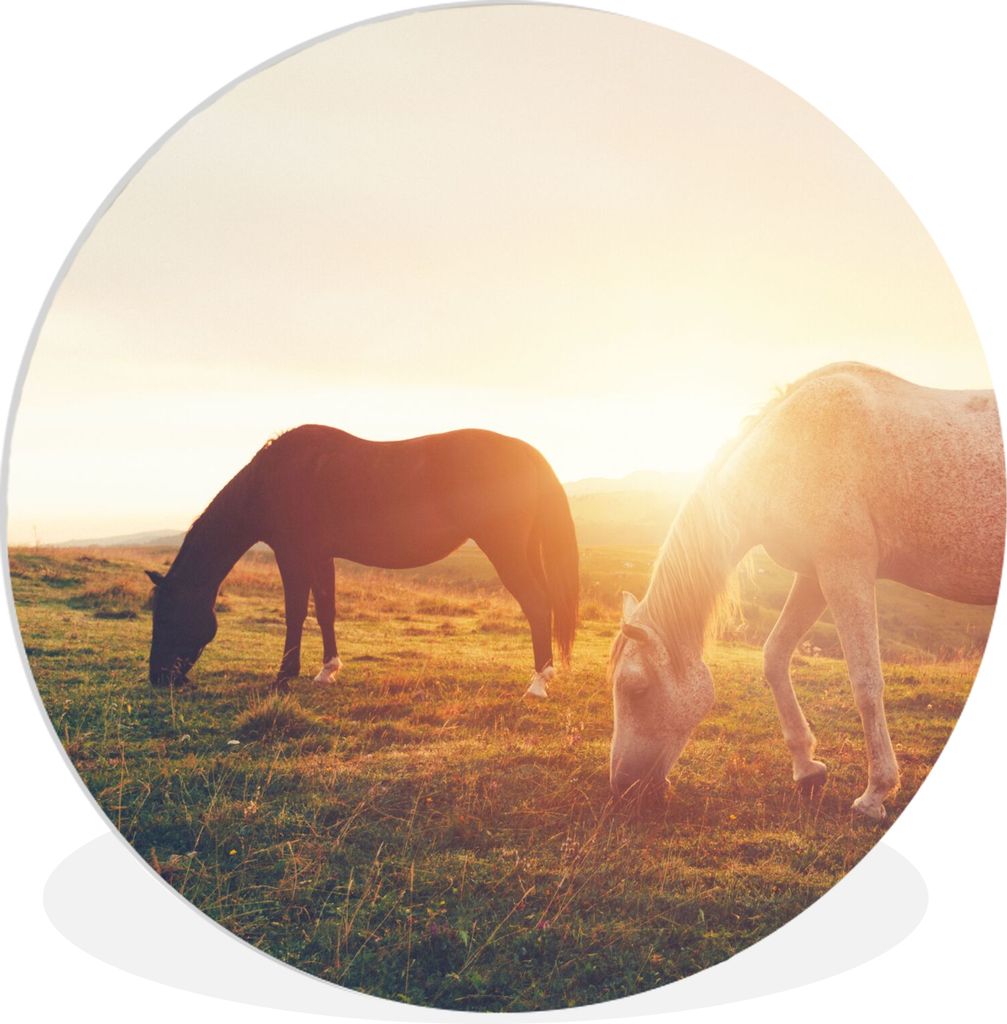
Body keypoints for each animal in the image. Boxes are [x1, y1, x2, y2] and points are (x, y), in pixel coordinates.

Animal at [146, 426, 579, 697]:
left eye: (166, 616)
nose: (159, 678)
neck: (271, 480)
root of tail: (526, 452)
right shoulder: (320, 556)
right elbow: (325, 610)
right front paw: (327, 671)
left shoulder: (292, 554)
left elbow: (294, 612)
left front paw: (284, 676)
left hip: (504, 549)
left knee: (536, 604)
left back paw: (538, 683)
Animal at [609, 362, 1004, 820]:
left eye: (637, 689)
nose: (621, 786)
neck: (789, 451)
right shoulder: (814, 576)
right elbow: (774, 657)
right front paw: (807, 769)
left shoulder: (845, 569)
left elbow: (865, 682)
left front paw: (875, 793)